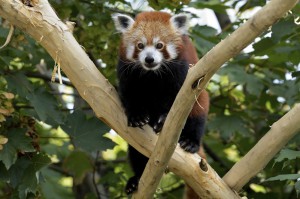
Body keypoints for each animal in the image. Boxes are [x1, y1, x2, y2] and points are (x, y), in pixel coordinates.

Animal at [112, 10, 209, 194]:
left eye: (159, 45)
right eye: (140, 45)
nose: (149, 59)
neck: (152, 74)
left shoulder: (182, 72)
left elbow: (176, 102)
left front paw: (163, 119)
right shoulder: (127, 72)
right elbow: (129, 95)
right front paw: (137, 116)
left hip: (200, 101)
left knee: (197, 116)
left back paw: (190, 141)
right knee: (137, 153)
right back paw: (136, 180)